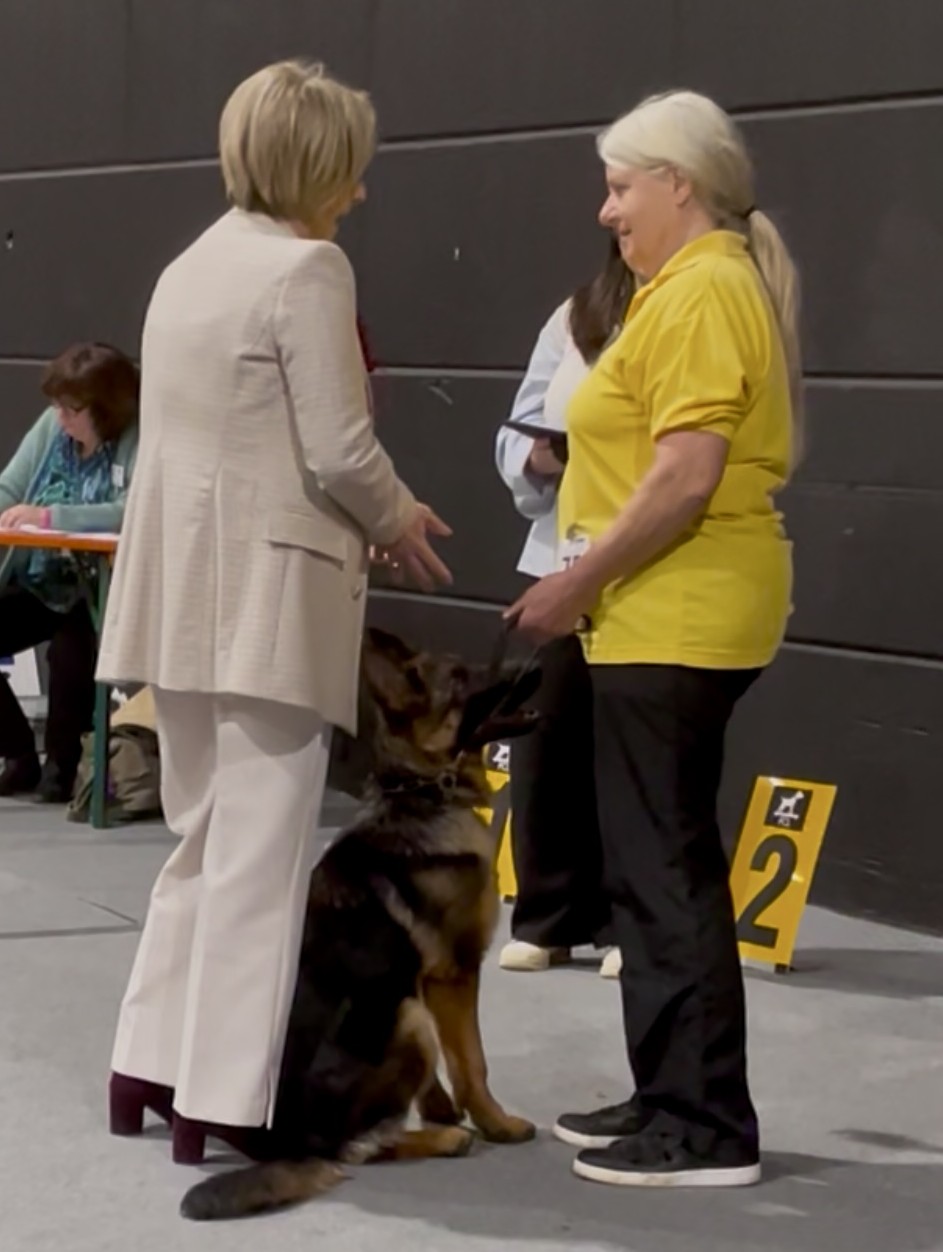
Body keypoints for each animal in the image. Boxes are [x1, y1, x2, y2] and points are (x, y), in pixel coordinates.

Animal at [180, 627, 541, 1221]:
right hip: (408, 1018)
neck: (423, 789)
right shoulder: (453, 976)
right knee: (352, 1149)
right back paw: (443, 1140)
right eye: (462, 678)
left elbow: (440, 1078)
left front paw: (440, 1108)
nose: (533, 659)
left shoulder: (425, 981)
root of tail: (290, 1143)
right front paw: (495, 1123)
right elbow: (473, 1064)